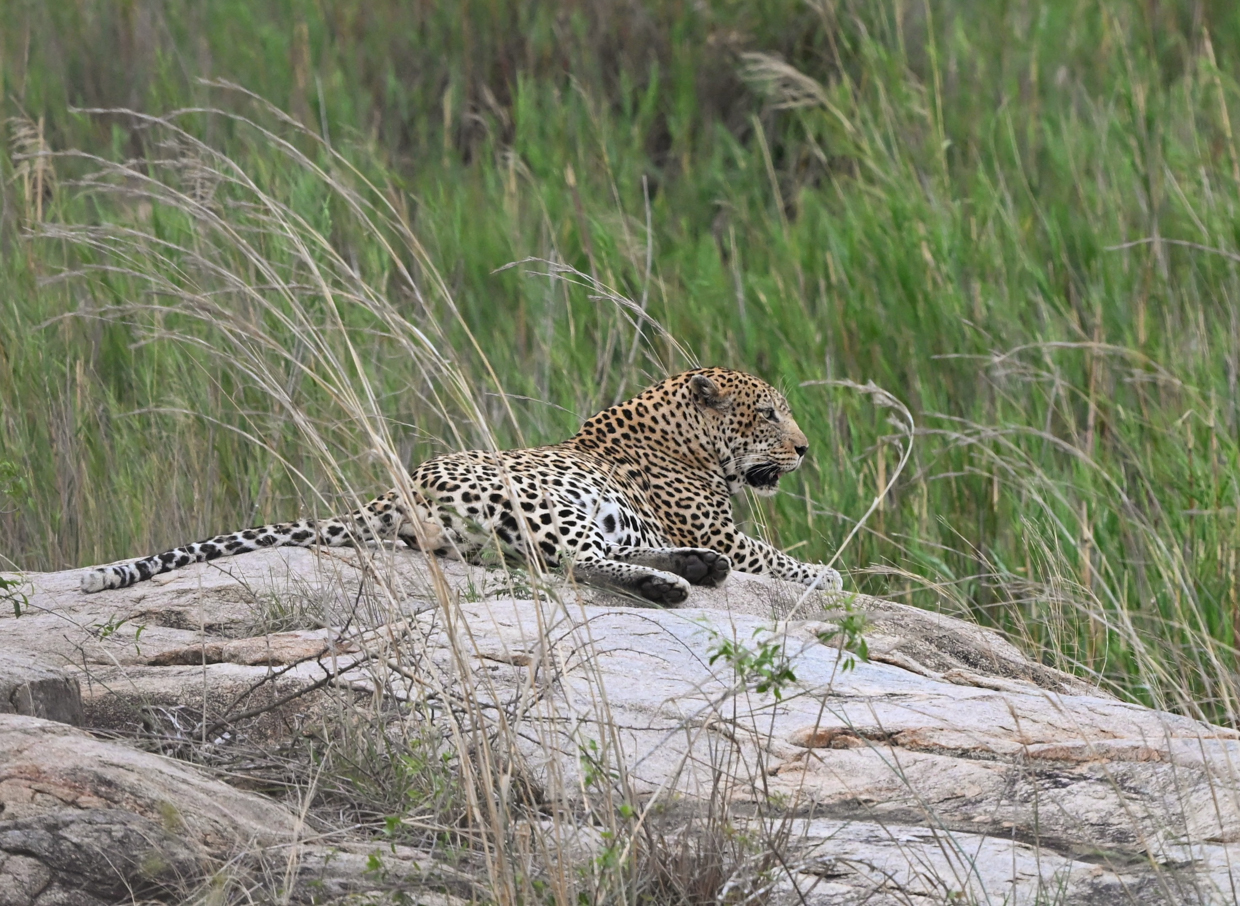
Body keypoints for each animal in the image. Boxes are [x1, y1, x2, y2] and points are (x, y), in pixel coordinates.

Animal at [80, 368, 844, 605]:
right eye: (768, 414)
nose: (807, 448)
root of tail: (393, 493)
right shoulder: (721, 528)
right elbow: (778, 558)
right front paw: (828, 576)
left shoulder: (716, 530)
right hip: (550, 501)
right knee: (577, 562)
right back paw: (671, 583)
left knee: (581, 557)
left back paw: (691, 571)